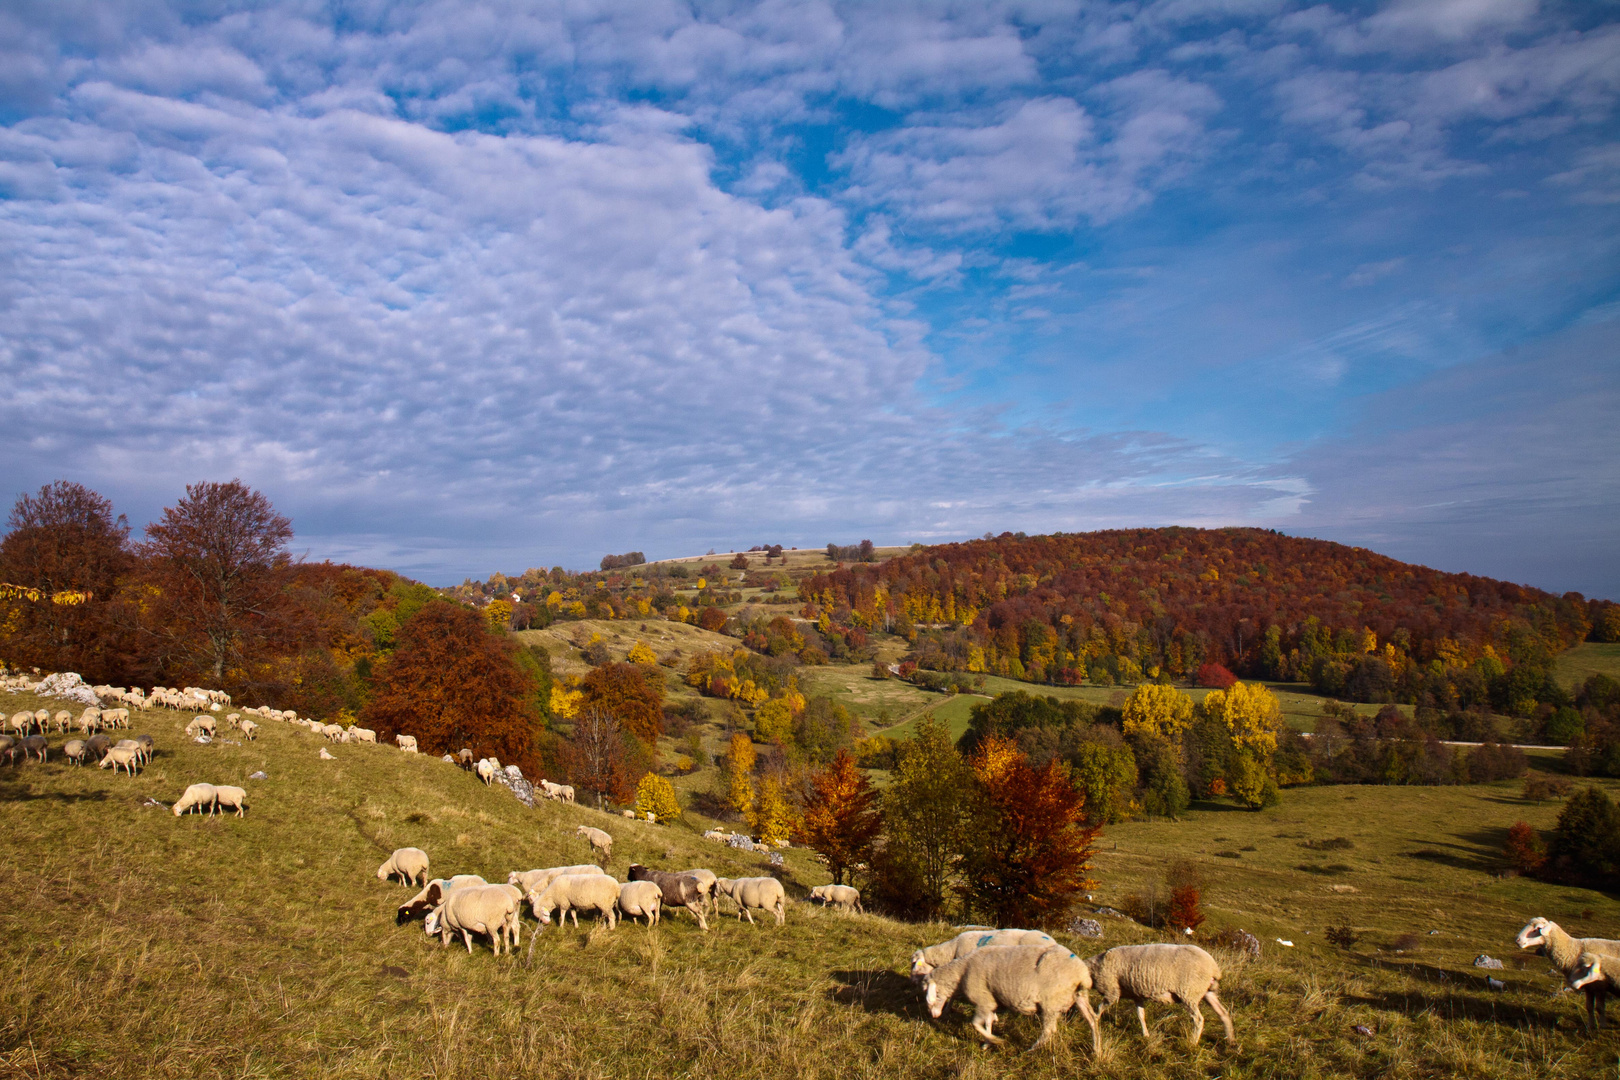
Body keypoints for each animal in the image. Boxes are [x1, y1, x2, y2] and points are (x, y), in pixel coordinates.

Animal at [926, 945, 1101, 1055]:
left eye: (934, 995)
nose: (933, 1016)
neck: (962, 971)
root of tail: (1082, 974)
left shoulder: (984, 999)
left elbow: (976, 1024)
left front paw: (995, 1040)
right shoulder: (990, 1000)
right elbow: (988, 1021)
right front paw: (987, 1043)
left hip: (1050, 1003)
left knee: (1049, 1030)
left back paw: (1030, 1050)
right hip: (1079, 997)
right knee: (1092, 1019)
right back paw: (1096, 1050)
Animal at [1082, 945, 1231, 1049]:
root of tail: (1214, 968)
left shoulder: (1111, 992)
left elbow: (1099, 1008)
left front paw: (1094, 1020)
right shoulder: (1136, 994)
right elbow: (1141, 1015)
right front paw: (1146, 1034)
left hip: (1189, 993)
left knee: (1198, 1019)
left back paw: (1193, 1043)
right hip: (1208, 992)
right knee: (1223, 1013)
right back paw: (1231, 1040)